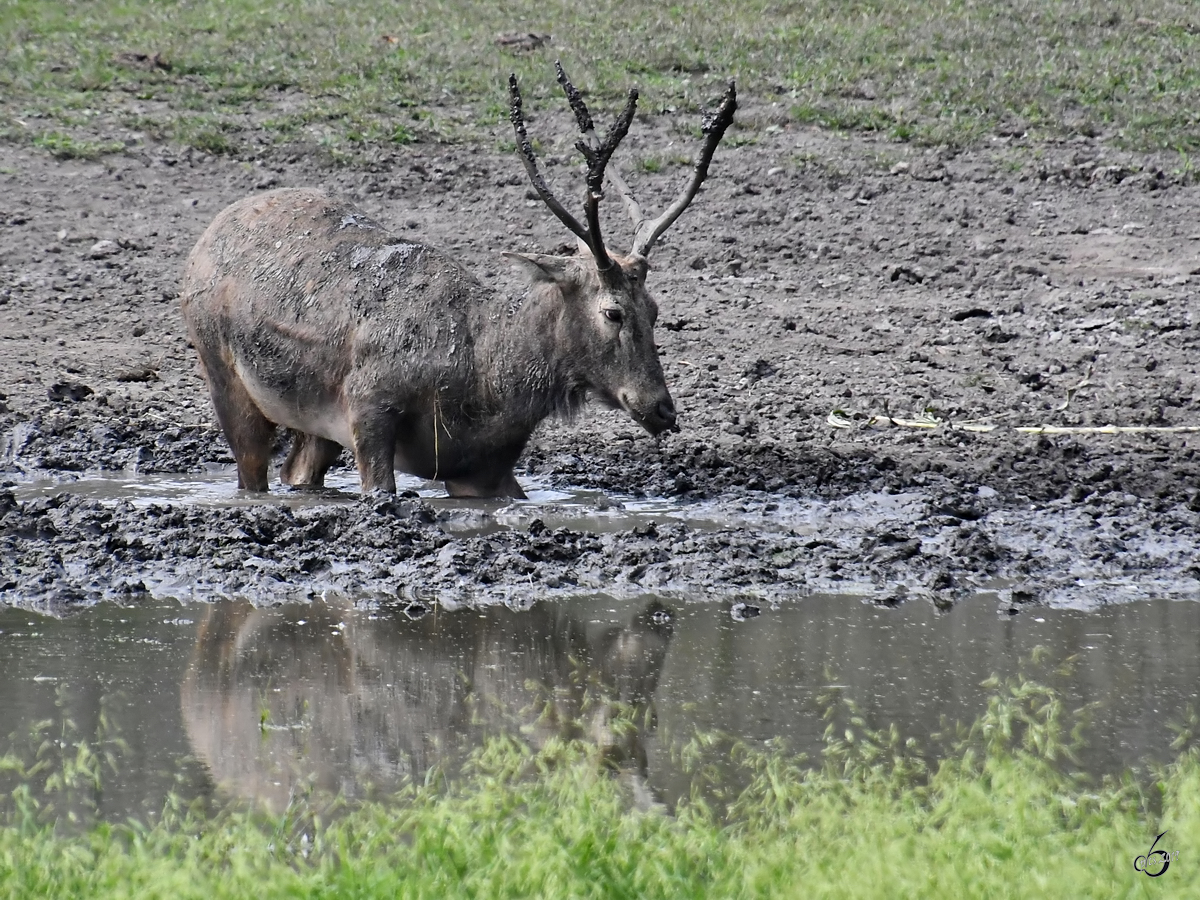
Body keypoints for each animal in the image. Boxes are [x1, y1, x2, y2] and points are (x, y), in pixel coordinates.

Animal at [181, 63, 734, 501]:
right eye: (613, 310)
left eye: (656, 309)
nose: (663, 409)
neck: (488, 381)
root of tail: (205, 237)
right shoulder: (367, 405)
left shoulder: (484, 465)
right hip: (223, 371)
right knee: (252, 469)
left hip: (311, 420)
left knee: (297, 471)